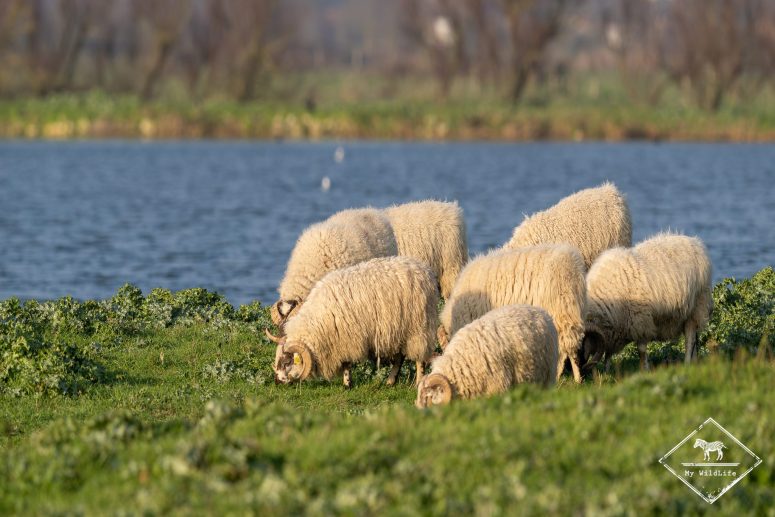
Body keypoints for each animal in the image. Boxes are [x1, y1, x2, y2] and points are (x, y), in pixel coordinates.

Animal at [266, 256, 439, 388]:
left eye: (287, 362)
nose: (276, 382)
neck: (318, 322)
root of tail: (425, 270)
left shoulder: (348, 339)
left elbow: (347, 363)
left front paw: (347, 384)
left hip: (418, 328)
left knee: (419, 358)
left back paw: (418, 382)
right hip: (398, 330)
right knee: (399, 357)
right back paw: (390, 381)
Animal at [439, 244, 587, 383]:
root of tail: (572, 269)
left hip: (559, 313)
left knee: (563, 350)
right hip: (570, 313)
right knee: (572, 348)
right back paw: (577, 379)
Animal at [581, 233, 712, 371]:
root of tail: (695, 242)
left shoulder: (641, 322)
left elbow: (642, 350)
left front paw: (645, 370)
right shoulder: (614, 330)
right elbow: (608, 353)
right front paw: (607, 371)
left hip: (696, 308)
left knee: (690, 339)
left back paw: (687, 364)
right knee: (695, 339)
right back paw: (694, 362)